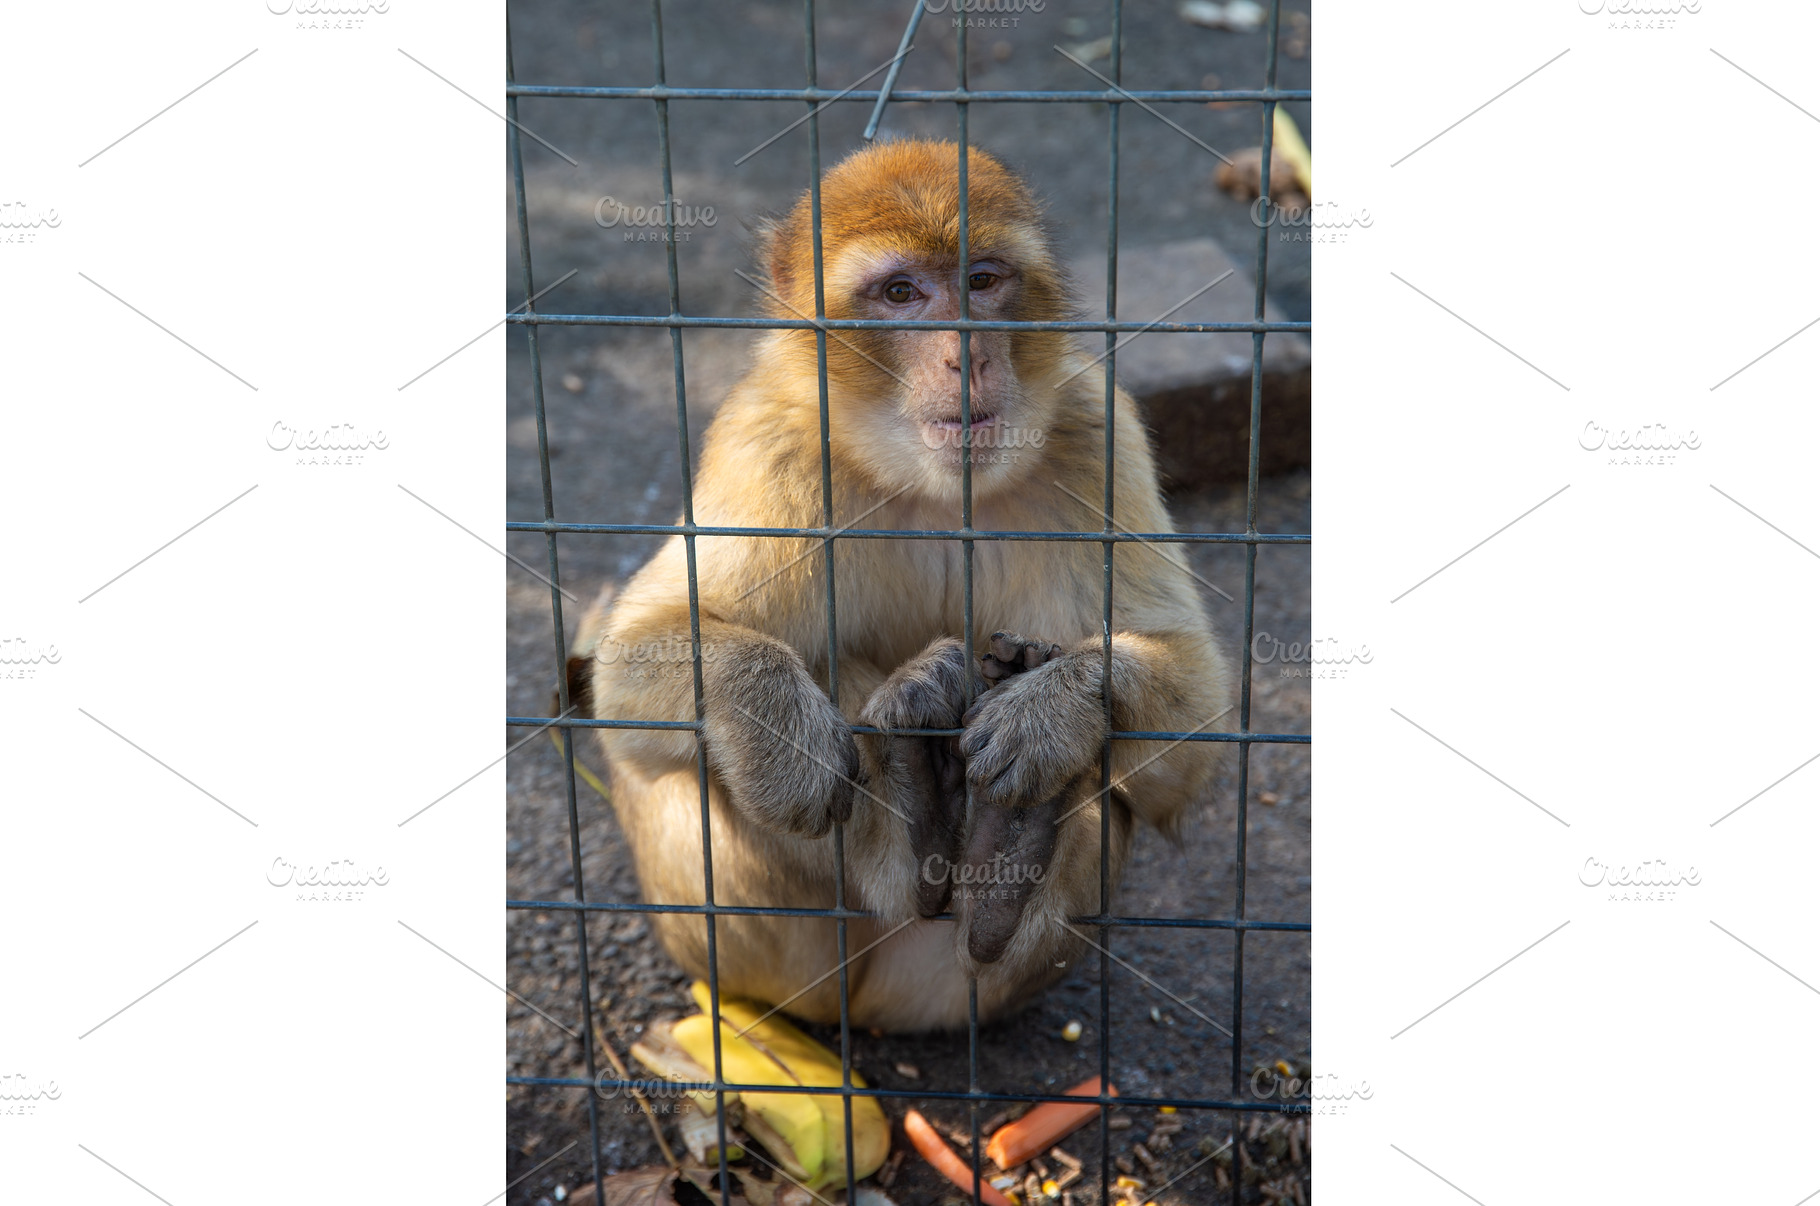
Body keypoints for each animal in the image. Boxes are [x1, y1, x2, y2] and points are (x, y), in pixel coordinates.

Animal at [568, 138, 1234, 1032]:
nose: (966, 353)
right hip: (760, 960)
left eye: (982, 281)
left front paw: (1057, 707)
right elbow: (630, 662)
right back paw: (918, 800)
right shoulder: (769, 440)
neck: (926, 483)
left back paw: (998, 856)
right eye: (900, 293)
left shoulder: (1097, 428)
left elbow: (1194, 730)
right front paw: (778, 731)